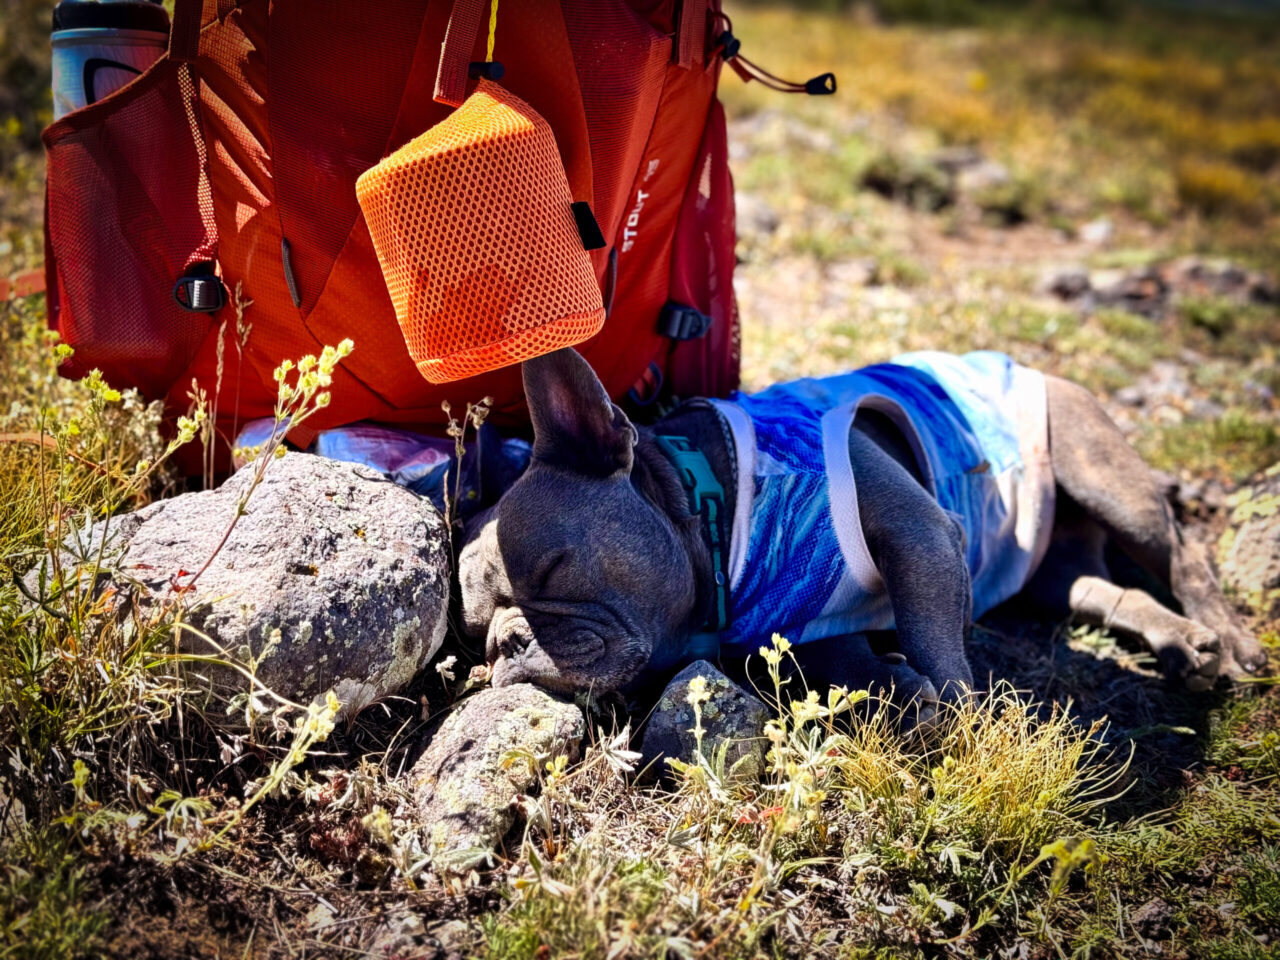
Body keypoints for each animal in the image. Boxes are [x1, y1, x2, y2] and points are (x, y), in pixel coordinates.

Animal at [455, 350, 1264, 711]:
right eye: (473, 632)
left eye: (554, 568)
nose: (507, 645)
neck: (717, 516)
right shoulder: (811, 629)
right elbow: (845, 662)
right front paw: (898, 689)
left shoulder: (918, 532)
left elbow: (934, 638)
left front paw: (959, 722)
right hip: (1052, 575)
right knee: (1103, 590)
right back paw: (1184, 644)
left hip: (1102, 475)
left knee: (1182, 552)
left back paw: (1234, 639)